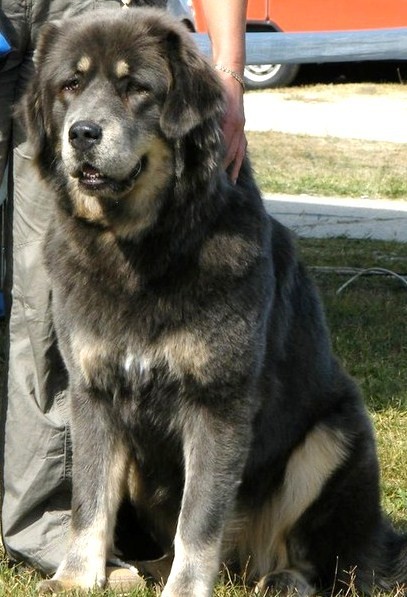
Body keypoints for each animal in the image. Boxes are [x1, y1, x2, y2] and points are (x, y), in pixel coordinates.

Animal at [20, 7, 407, 596]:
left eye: (136, 88)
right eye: (70, 85)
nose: (81, 133)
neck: (143, 252)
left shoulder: (217, 403)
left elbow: (199, 520)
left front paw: (182, 589)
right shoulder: (95, 392)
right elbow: (89, 499)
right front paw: (76, 579)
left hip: (334, 436)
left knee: (331, 559)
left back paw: (286, 578)